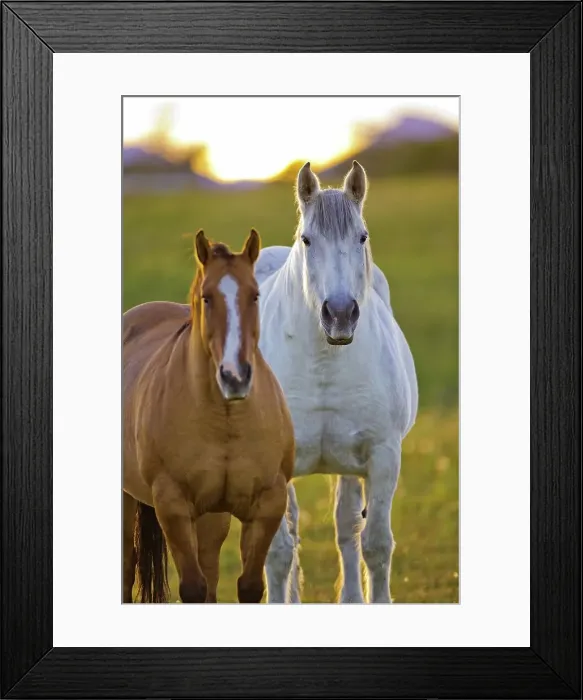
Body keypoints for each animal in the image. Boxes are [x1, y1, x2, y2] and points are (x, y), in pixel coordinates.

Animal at [122, 229, 295, 603]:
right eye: (207, 298)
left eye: (254, 295)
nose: (235, 376)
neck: (224, 419)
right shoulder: (172, 505)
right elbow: (193, 588)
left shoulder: (268, 504)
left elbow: (249, 587)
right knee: (126, 571)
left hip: (213, 518)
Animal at [254, 161, 418, 603]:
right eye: (307, 239)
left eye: (362, 236)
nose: (340, 315)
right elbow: (278, 553)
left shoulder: (382, 456)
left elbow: (375, 545)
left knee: (347, 529)